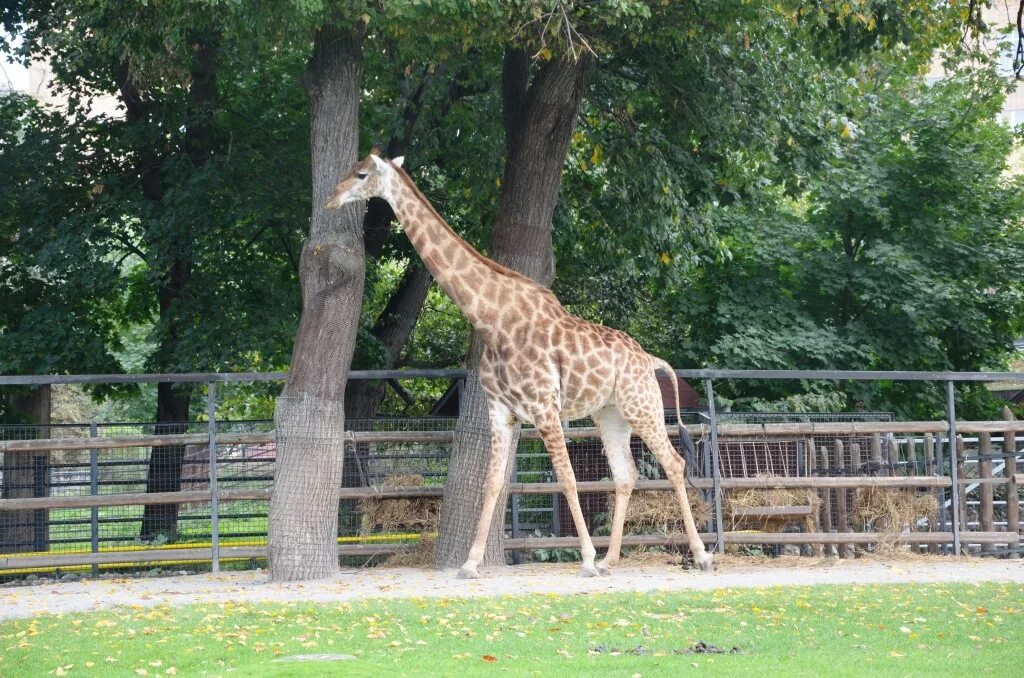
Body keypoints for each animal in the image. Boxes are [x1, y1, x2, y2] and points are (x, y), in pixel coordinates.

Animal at [327, 148, 712, 577]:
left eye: (361, 174)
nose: (330, 199)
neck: (492, 320)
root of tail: (650, 359)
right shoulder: (501, 411)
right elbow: (493, 483)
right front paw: (471, 564)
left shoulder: (545, 407)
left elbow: (566, 478)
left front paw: (586, 559)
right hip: (611, 413)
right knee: (626, 475)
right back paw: (612, 560)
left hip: (641, 406)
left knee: (674, 463)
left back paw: (699, 555)